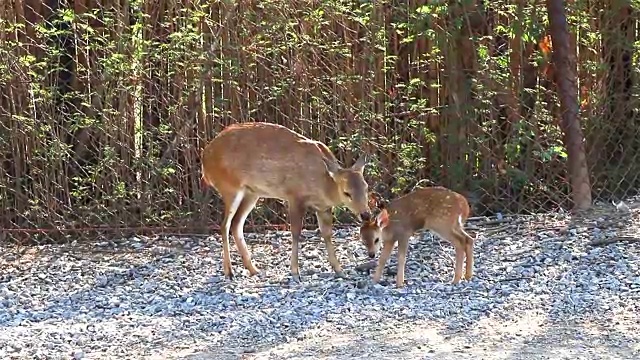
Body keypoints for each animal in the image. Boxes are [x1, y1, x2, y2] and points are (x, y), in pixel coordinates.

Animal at [202, 122, 372, 282]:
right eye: (347, 192)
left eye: (366, 187)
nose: (366, 214)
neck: (323, 184)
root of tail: (205, 164)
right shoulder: (295, 196)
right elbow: (296, 233)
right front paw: (295, 273)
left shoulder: (323, 207)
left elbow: (327, 234)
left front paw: (340, 271)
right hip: (230, 187)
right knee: (225, 224)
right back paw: (229, 272)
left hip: (252, 193)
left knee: (237, 223)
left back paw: (254, 269)